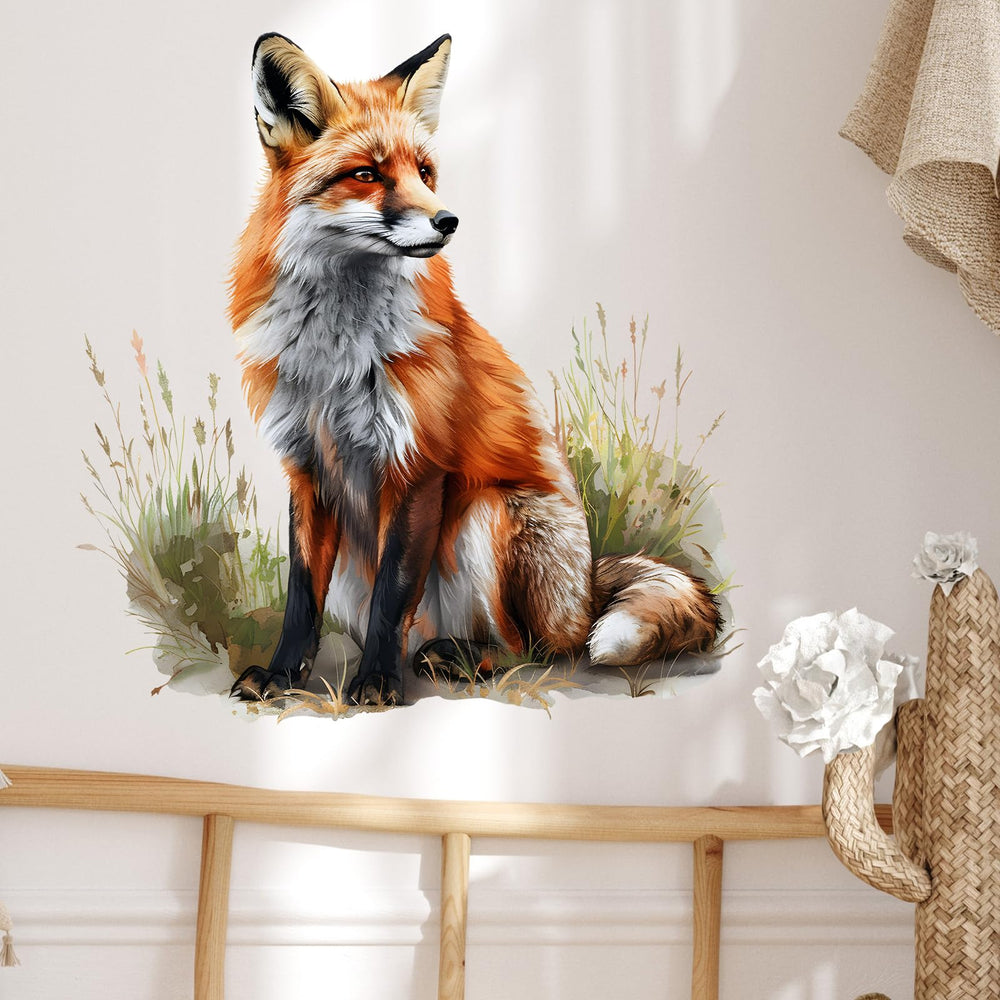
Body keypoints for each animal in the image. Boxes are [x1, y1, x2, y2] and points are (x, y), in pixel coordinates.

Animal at [229, 32, 720, 705]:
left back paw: (461, 658)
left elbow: (392, 597)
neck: (337, 358)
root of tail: (588, 592)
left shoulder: (417, 465)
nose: (448, 221)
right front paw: (281, 674)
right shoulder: (306, 469)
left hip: (486, 515)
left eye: (425, 173)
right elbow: (301, 598)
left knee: (534, 648)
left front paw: (376, 682)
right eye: (367, 174)